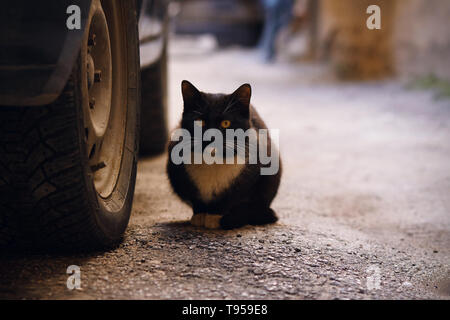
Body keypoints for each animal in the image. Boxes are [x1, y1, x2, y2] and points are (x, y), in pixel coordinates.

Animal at [167, 81, 284, 229]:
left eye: (226, 123)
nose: (211, 137)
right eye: (200, 122)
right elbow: (195, 199)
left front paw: (214, 217)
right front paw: (199, 215)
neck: (212, 162)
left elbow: (231, 198)